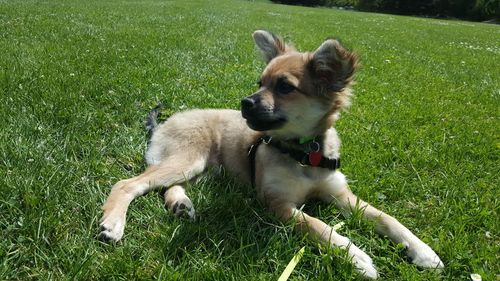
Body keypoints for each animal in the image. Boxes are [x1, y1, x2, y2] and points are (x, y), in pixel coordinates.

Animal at [98, 30, 446, 276]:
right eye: (260, 82)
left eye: (284, 87)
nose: (244, 103)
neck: (305, 152)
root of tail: (166, 121)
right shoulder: (276, 202)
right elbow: (317, 225)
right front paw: (356, 257)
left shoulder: (341, 195)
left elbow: (386, 217)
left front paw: (423, 251)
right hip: (188, 159)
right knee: (129, 184)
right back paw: (113, 224)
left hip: (202, 168)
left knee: (168, 186)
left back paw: (181, 205)